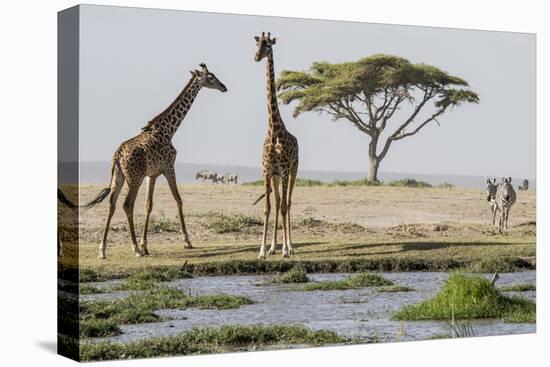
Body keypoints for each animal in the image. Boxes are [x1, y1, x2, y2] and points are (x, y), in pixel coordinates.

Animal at [84, 63, 226, 258]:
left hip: (119, 177)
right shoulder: (169, 168)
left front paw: (145, 245)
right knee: (127, 205)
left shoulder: (151, 175)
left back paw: (103, 250)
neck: (169, 130)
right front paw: (187, 241)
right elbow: (178, 199)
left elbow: (148, 205)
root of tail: (118, 154)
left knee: (112, 204)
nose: (224, 87)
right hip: (134, 178)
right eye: (211, 77)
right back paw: (134, 249)